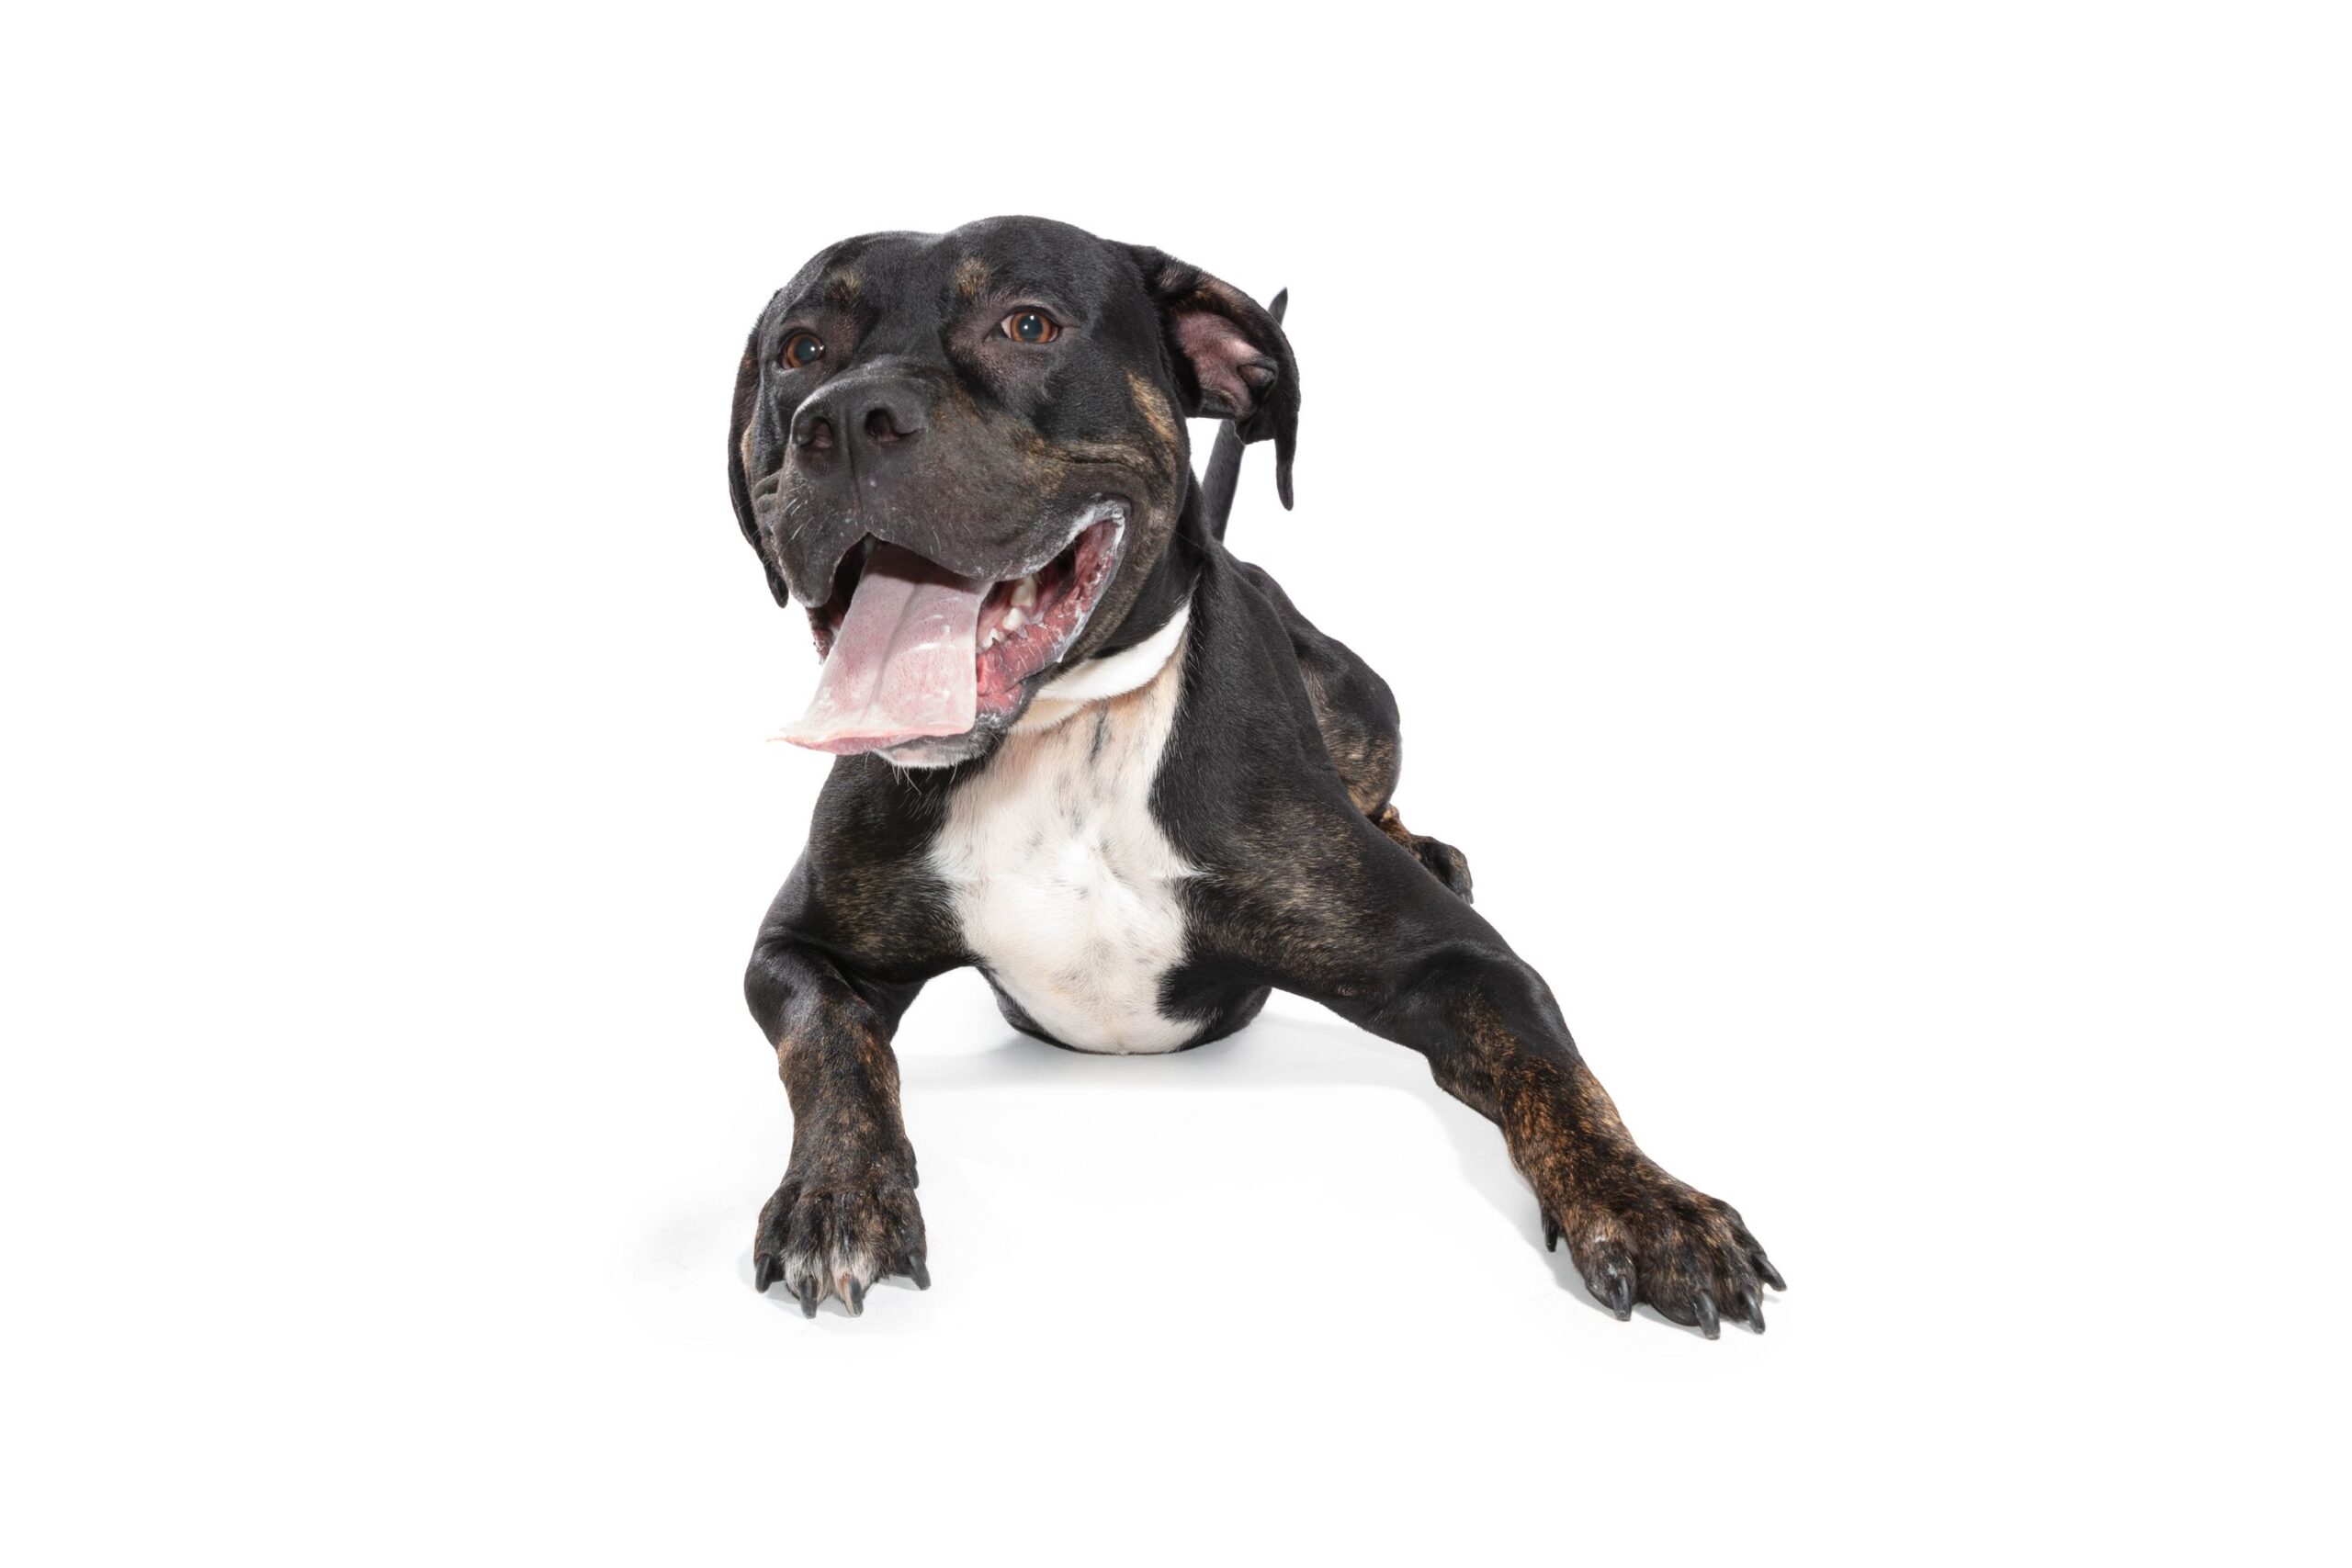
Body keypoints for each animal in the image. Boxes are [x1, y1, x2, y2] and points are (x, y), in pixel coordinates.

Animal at [726, 216, 1781, 1333]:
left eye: (1029, 324)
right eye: (799, 351)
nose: (846, 419)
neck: (1067, 747)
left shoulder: (1467, 963)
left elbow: (1559, 1077)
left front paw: (1649, 1203)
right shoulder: (796, 947)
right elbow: (833, 1042)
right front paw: (837, 1192)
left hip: (1362, 700)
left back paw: (1426, 844)